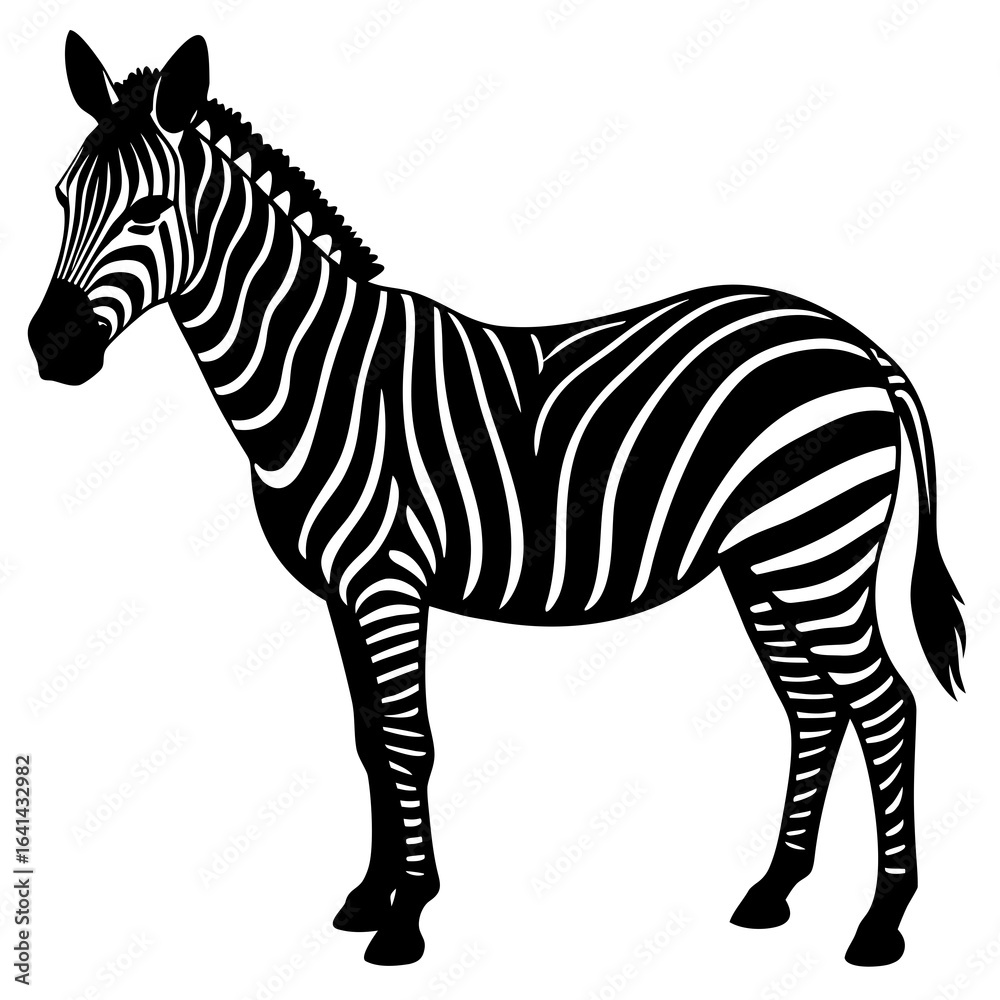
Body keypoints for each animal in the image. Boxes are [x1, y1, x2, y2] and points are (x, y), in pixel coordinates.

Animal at [29, 33, 966, 968]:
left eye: (149, 211)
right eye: (62, 196)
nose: (50, 348)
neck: (319, 378)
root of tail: (857, 343)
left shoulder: (388, 583)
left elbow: (409, 742)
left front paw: (406, 918)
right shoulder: (342, 594)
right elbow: (370, 741)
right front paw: (369, 896)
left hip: (815, 552)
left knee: (885, 706)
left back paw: (881, 922)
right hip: (768, 563)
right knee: (815, 709)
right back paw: (774, 891)